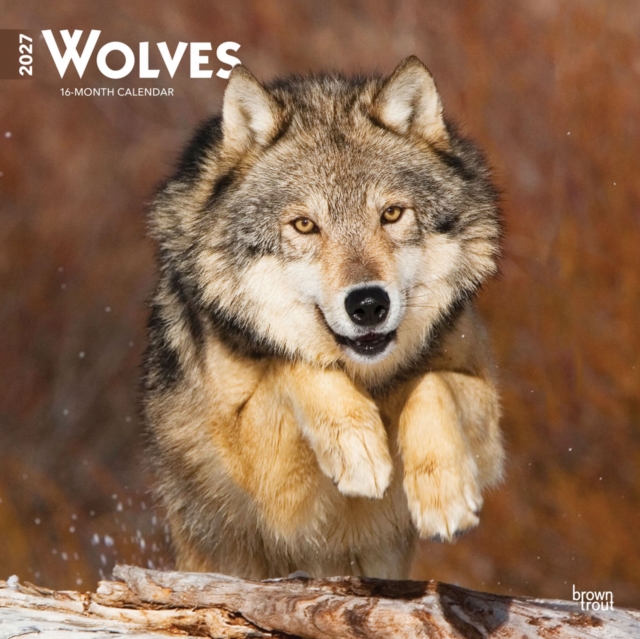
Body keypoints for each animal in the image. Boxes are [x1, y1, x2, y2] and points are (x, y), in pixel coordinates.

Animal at [142, 56, 504, 580]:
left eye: (391, 214)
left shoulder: (486, 414)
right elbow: (291, 363)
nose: (369, 304)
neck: (367, 377)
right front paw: (358, 445)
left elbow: (428, 383)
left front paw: (445, 496)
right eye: (304, 225)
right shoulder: (267, 481)